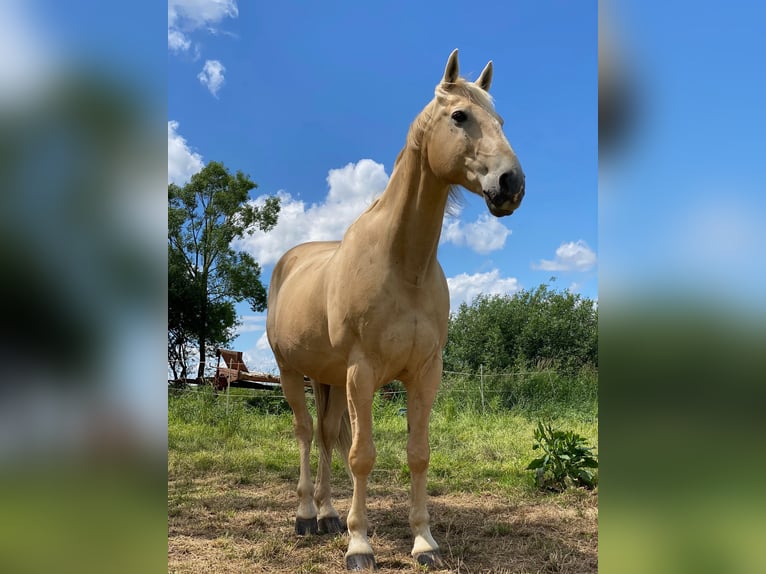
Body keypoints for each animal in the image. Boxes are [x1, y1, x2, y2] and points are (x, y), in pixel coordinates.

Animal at [266, 49, 528, 572]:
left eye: (502, 121)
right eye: (459, 116)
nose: (511, 183)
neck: (403, 265)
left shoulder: (424, 373)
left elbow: (417, 454)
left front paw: (424, 541)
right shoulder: (362, 373)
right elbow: (362, 455)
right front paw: (360, 546)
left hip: (326, 378)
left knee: (324, 435)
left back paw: (327, 514)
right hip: (291, 373)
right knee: (304, 433)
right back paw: (306, 516)